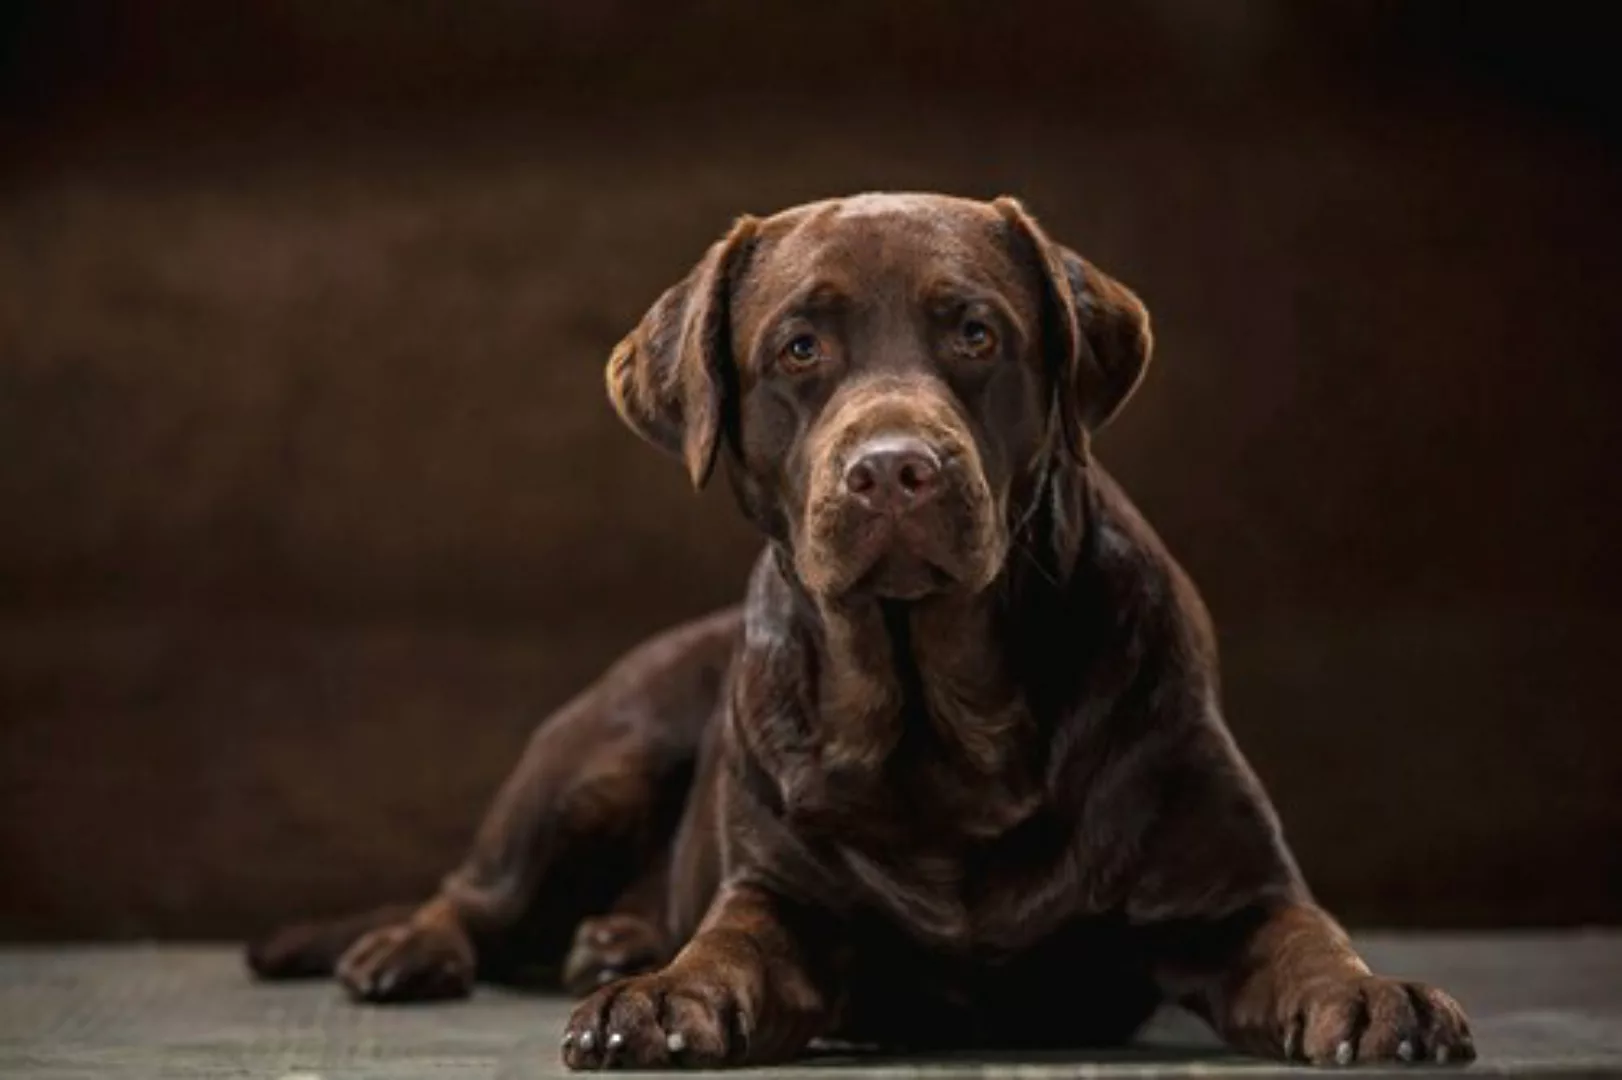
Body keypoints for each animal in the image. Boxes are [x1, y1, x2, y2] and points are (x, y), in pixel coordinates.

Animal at [246, 193, 1479, 1070]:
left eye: (976, 332)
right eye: (798, 349)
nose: (893, 469)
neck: (945, 722)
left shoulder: (1230, 894)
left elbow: (1306, 937)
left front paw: (1377, 995)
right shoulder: (784, 899)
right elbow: (729, 943)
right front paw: (661, 995)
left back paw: (613, 935)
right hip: (597, 753)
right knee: (474, 892)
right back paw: (421, 949)